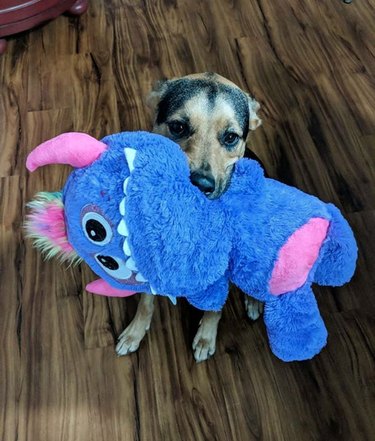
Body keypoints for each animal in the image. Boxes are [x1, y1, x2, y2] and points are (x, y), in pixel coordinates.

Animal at [117, 73, 264, 360]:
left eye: (231, 137)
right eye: (178, 127)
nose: (201, 184)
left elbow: (215, 308)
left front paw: (206, 337)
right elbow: (146, 303)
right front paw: (135, 332)